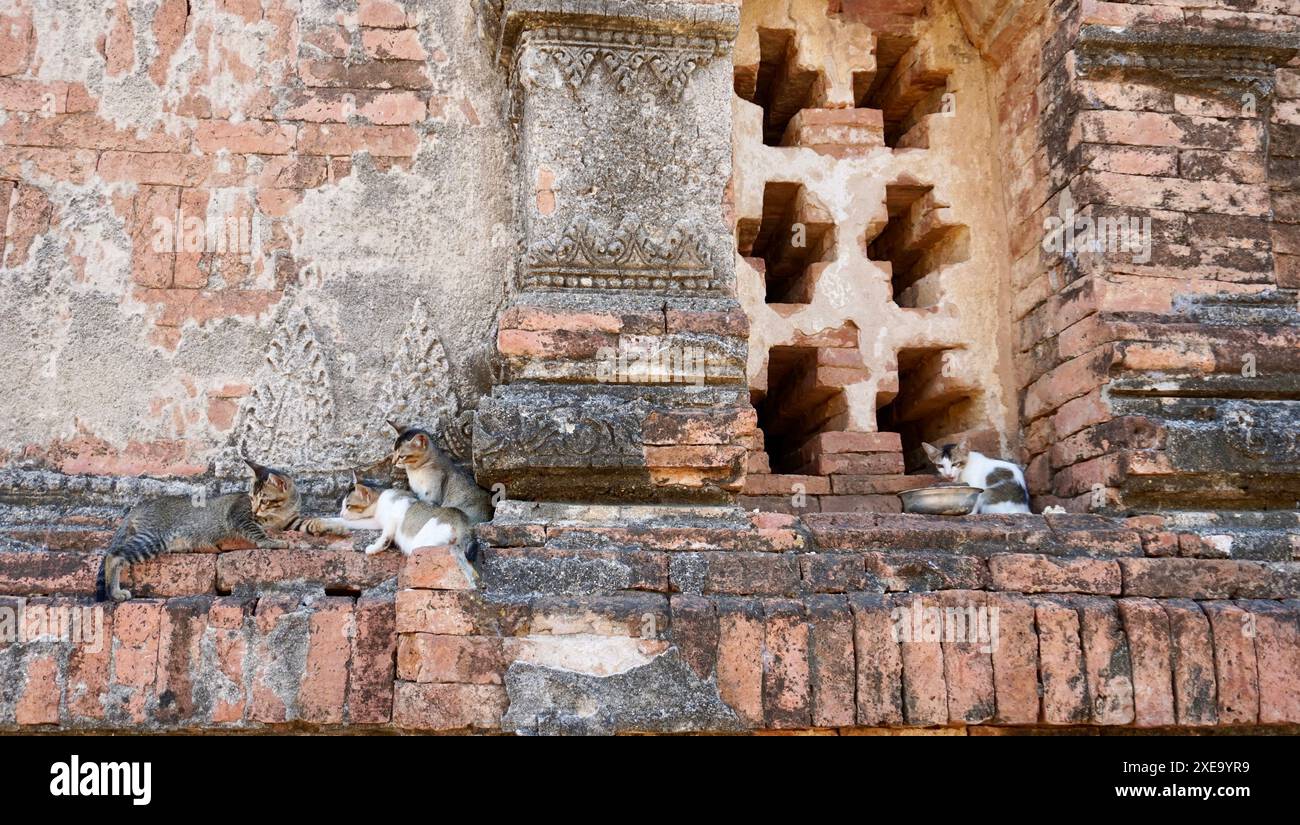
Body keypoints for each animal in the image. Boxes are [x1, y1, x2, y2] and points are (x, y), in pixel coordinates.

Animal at [97, 493, 286, 602]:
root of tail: (139, 507)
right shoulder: (240, 517)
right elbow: (258, 533)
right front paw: (273, 542)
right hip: (153, 538)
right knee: (113, 556)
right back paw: (115, 593)